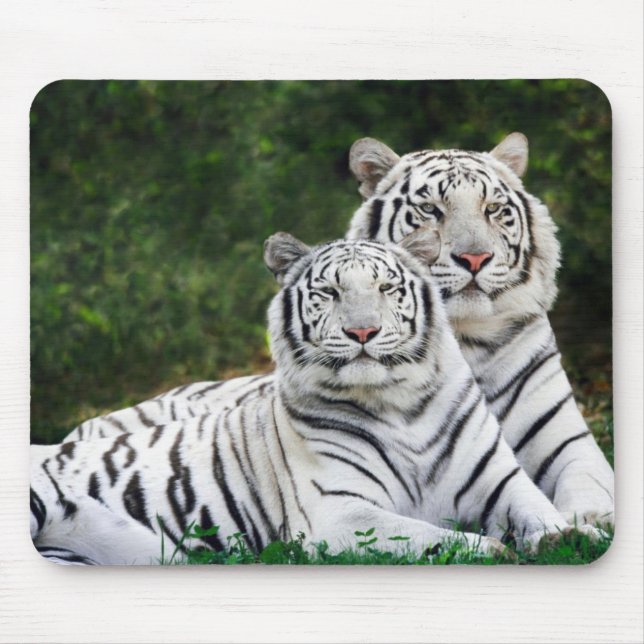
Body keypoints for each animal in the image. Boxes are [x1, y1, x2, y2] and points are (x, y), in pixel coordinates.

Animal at [31, 231, 593, 565]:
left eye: (387, 288)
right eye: (330, 293)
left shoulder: (500, 481)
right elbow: (427, 537)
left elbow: (539, 509)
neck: (401, 405)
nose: (363, 332)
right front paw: (493, 550)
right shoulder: (339, 514)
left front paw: (569, 536)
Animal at [345, 133, 614, 527]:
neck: (466, 336)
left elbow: (587, 480)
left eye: (493, 209)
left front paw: (590, 518)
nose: (475, 258)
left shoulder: (568, 439)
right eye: (431, 210)